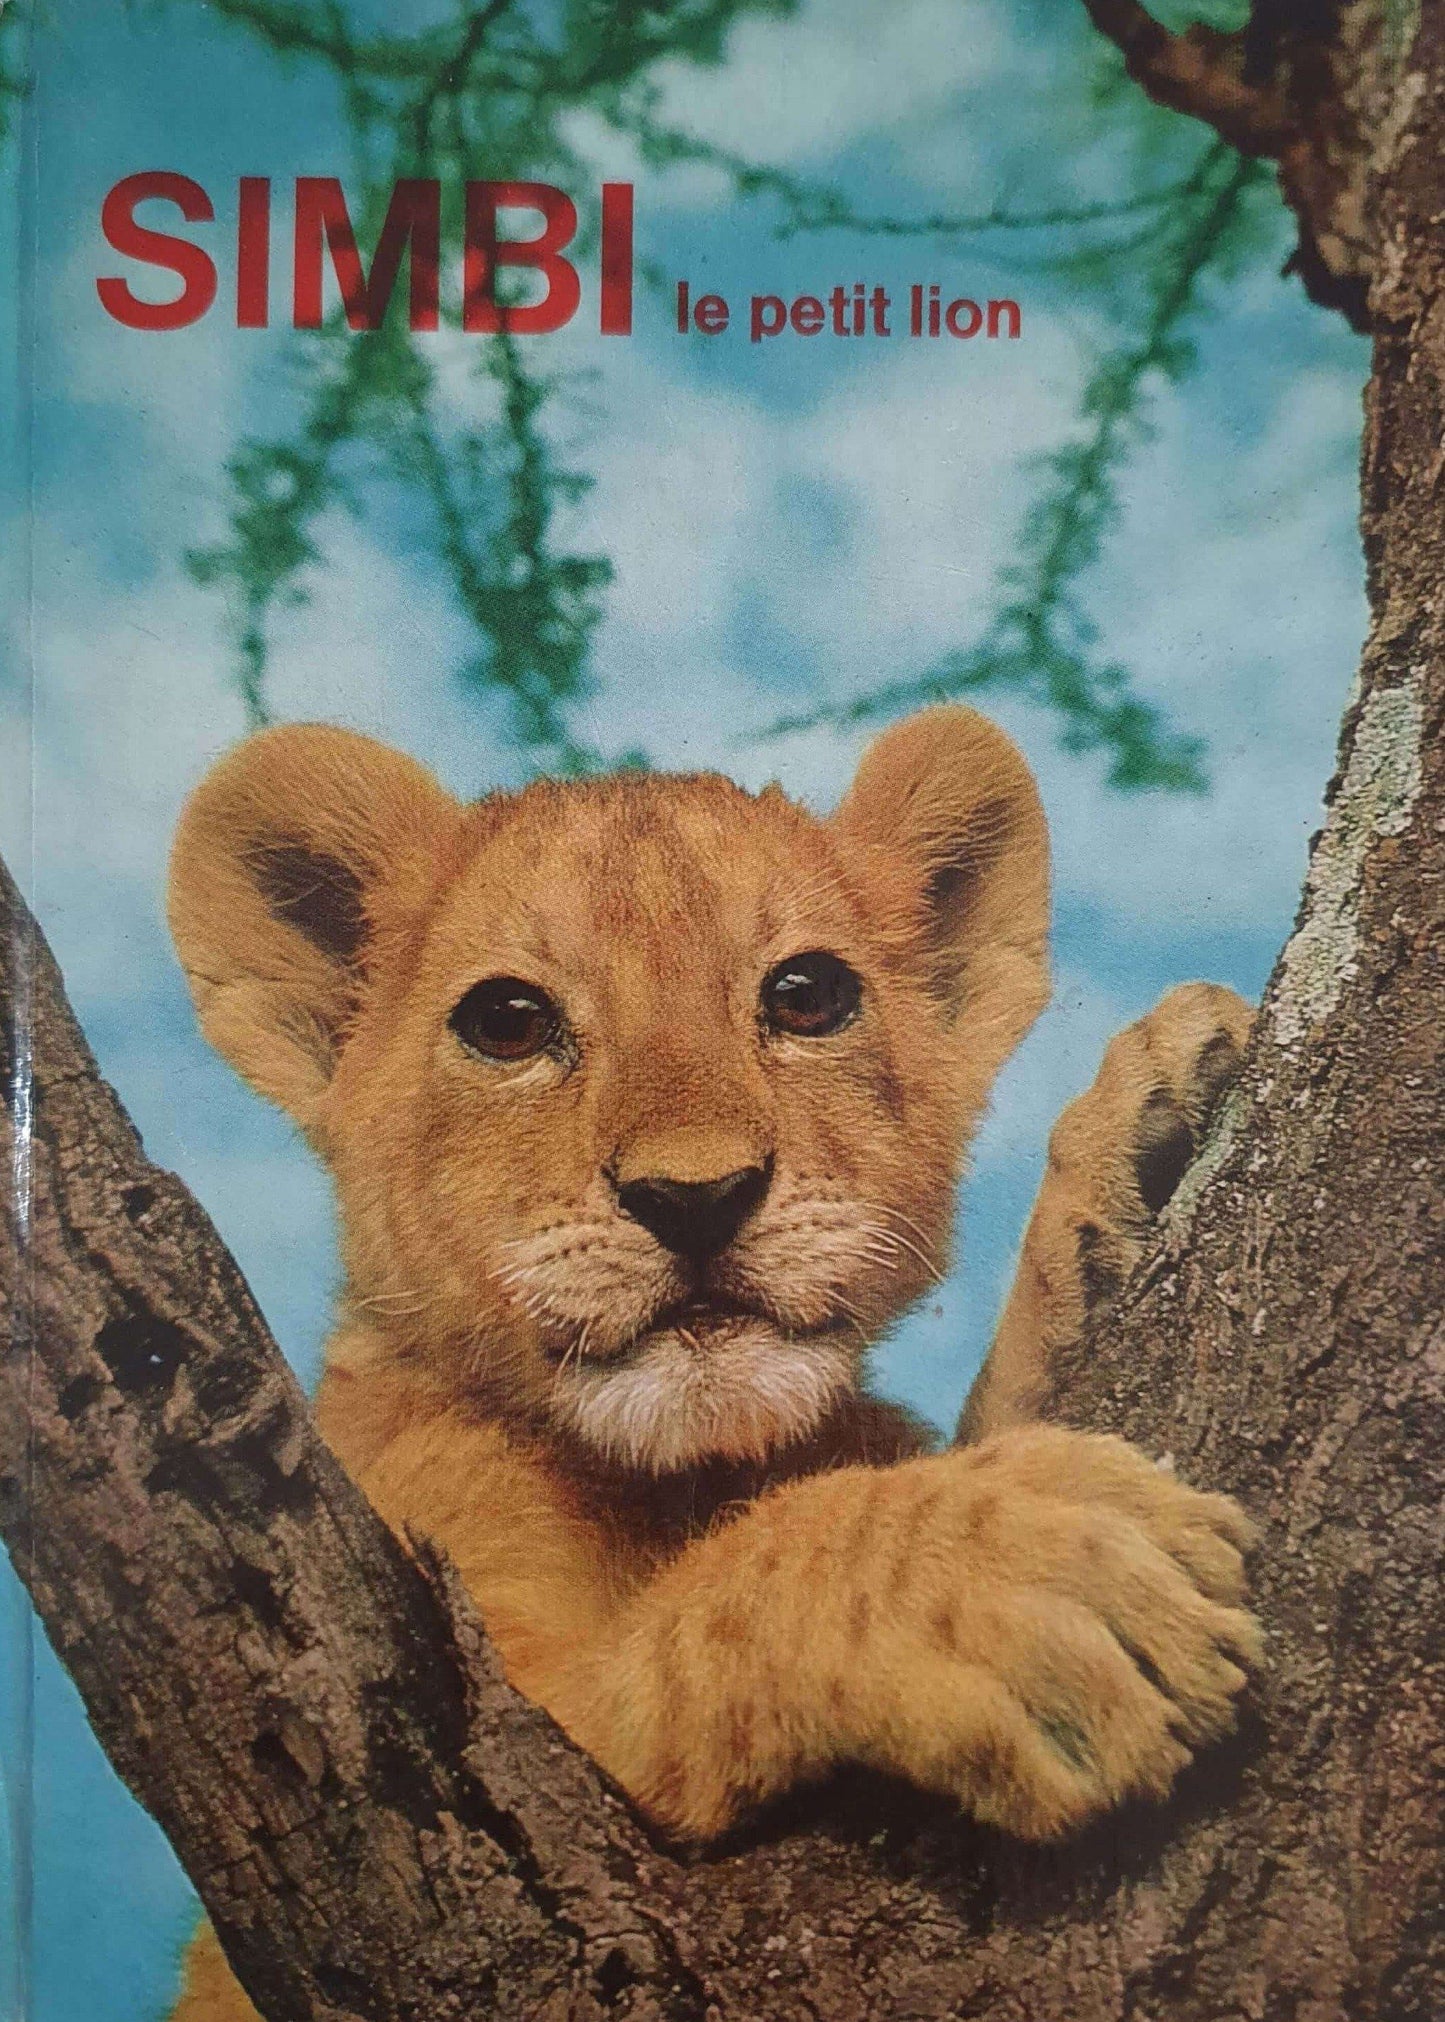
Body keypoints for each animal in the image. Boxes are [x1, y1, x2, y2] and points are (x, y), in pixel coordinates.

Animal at [165, 706, 1259, 2019]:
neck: (690, 1470)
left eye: (805, 995)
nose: (694, 1197)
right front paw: (1018, 1578)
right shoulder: (486, 1768)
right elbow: (713, 1610)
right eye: (507, 1022)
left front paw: (1146, 1118)